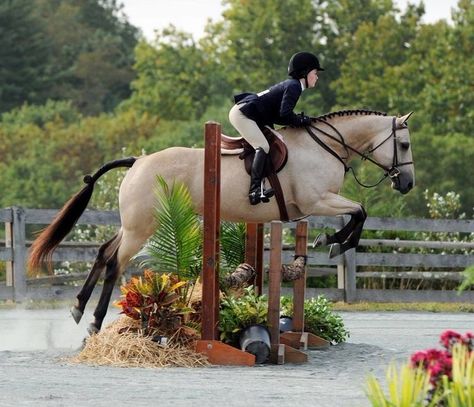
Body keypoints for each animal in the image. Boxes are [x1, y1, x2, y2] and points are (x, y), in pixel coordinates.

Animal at [28, 109, 414, 334]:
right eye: (405, 145)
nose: (407, 184)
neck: (325, 146)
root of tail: (137, 161)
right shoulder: (316, 200)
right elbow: (360, 211)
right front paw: (335, 243)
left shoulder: (318, 203)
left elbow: (358, 212)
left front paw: (331, 241)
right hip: (142, 228)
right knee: (113, 263)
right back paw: (94, 321)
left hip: (135, 225)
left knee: (103, 252)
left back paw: (78, 308)